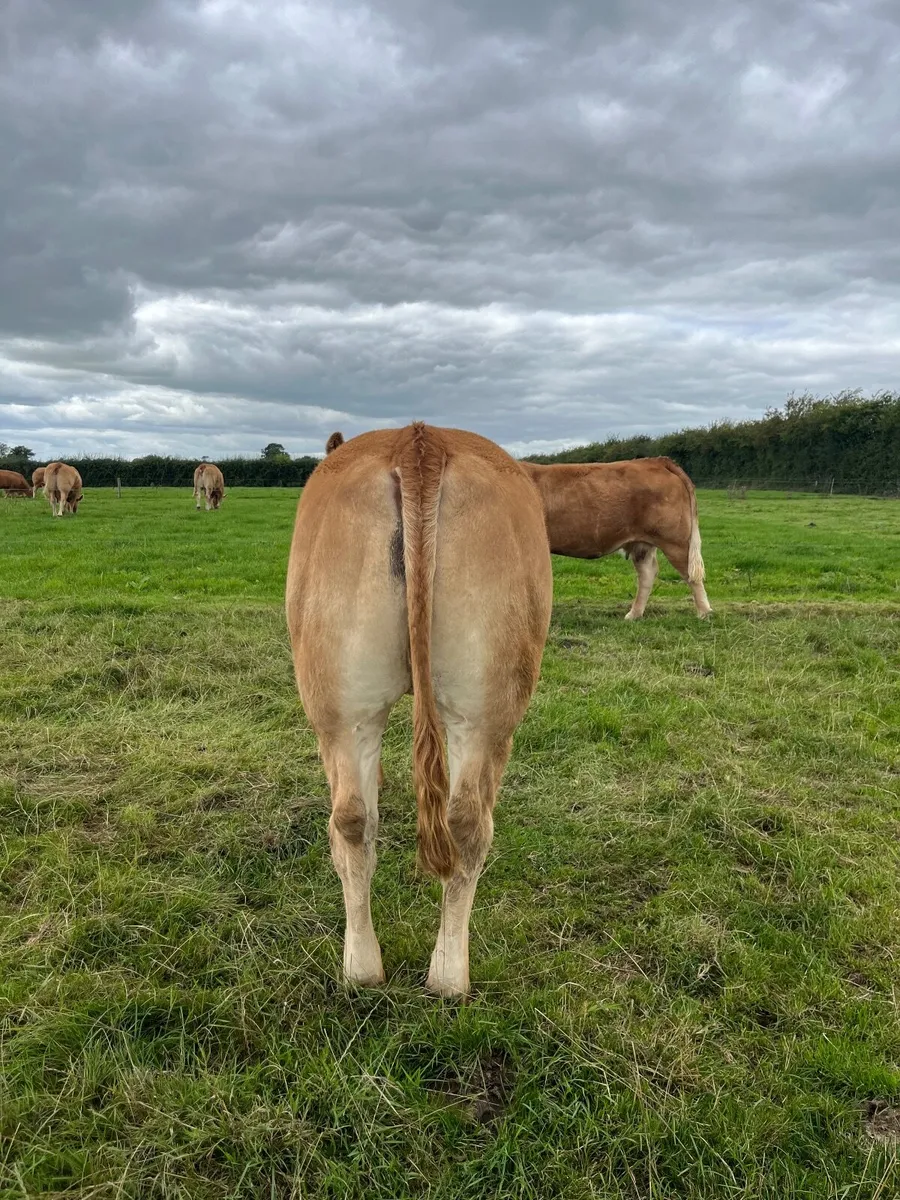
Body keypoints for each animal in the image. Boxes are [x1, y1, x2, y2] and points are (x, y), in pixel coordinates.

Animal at [287, 422, 552, 997]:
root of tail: (419, 441)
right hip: (481, 709)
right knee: (457, 822)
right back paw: (441, 975)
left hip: (341, 708)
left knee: (355, 820)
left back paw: (371, 970)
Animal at [520, 457, 712, 619]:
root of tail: (656, 461)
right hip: (642, 543)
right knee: (647, 573)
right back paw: (634, 614)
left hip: (675, 541)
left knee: (690, 575)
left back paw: (704, 613)